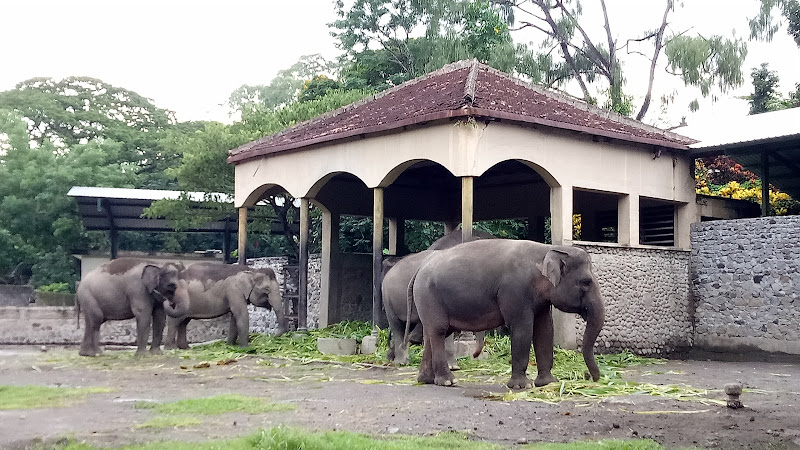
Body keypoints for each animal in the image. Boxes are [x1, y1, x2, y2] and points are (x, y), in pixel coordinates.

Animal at [406, 239, 608, 390]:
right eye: (586, 282)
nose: (591, 377)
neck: (546, 250)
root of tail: (419, 269)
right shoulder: (515, 290)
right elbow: (522, 328)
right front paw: (522, 386)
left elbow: (545, 330)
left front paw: (548, 383)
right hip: (429, 296)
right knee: (439, 331)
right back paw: (448, 381)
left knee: (433, 334)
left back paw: (426, 380)